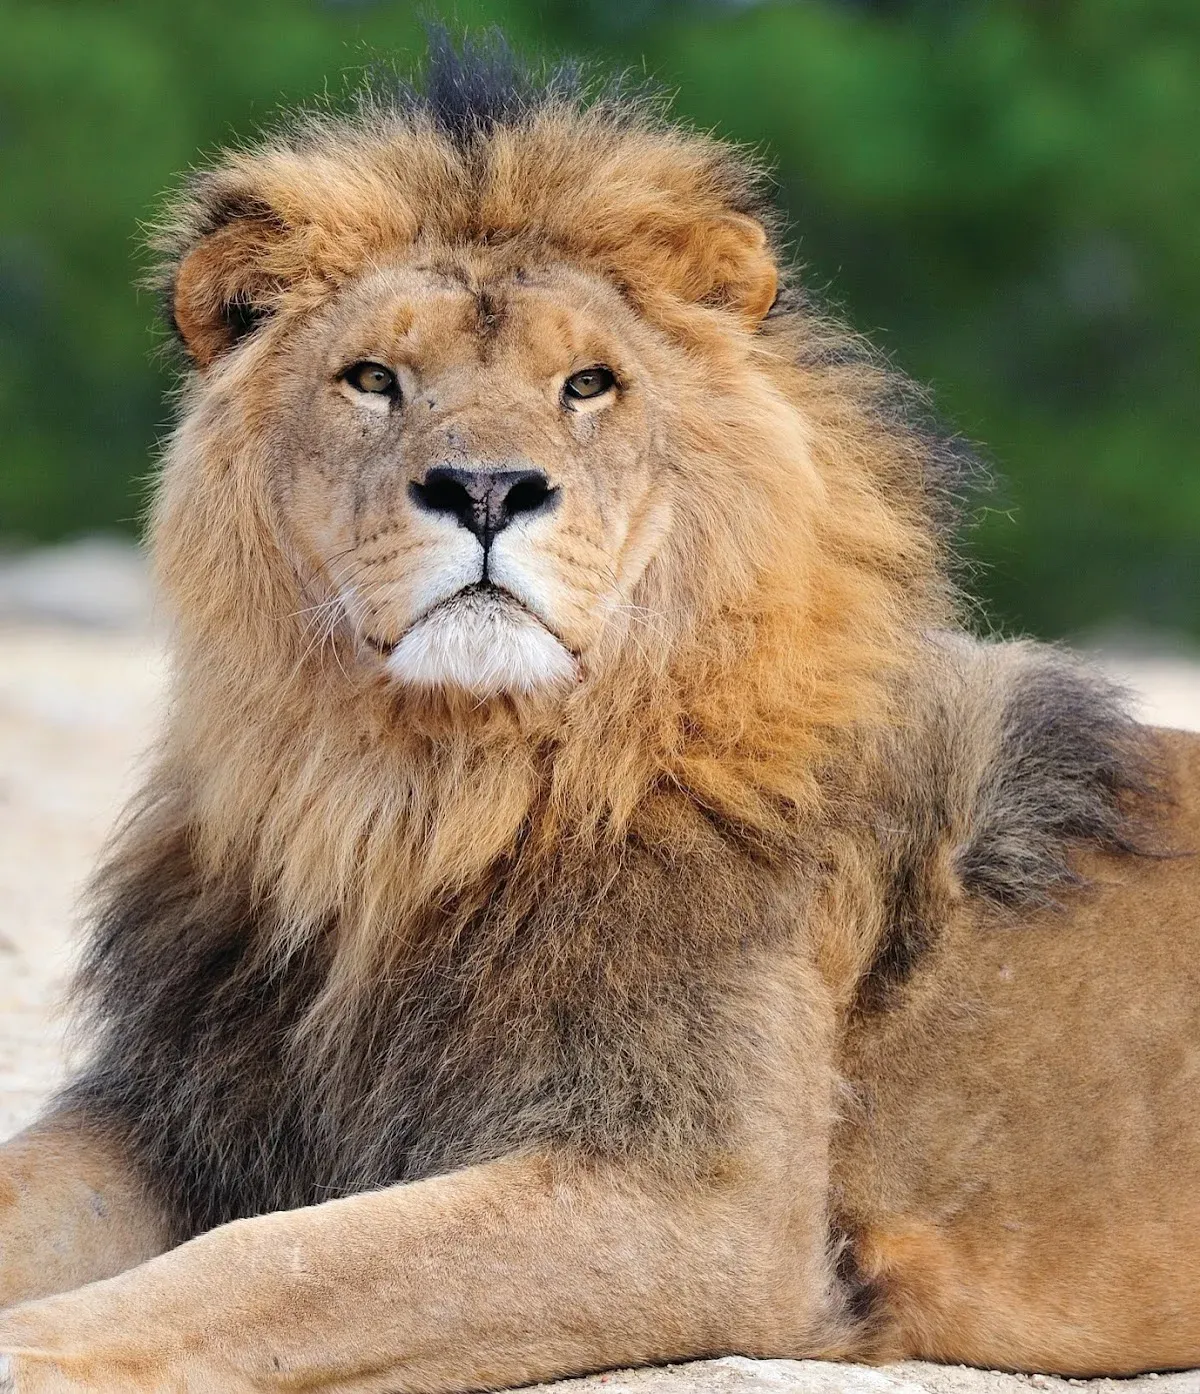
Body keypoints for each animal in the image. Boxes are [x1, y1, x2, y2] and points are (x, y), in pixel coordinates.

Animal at [0, 30, 1197, 1393]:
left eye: (588, 384)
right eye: (373, 379)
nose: (483, 487)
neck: (420, 798)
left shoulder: (701, 1197)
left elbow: (280, 1261)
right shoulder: (176, 1108)